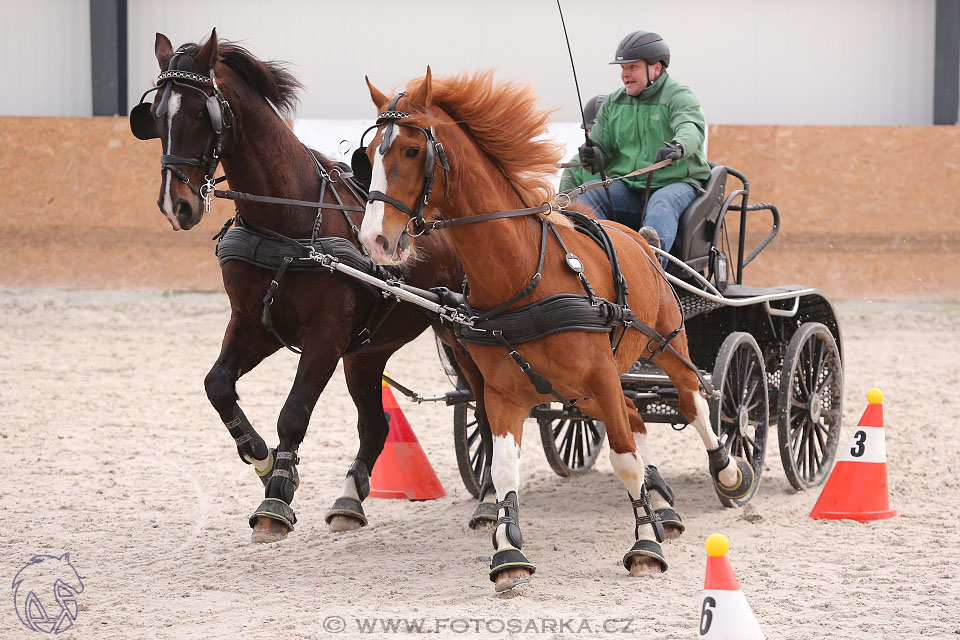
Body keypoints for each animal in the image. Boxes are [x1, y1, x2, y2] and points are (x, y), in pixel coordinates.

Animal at [128, 30, 496, 540]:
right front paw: (262, 459)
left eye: (203, 113)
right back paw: (349, 499)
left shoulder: (325, 336)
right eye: (157, 115)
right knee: (376, 424)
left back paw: (489, 499)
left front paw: (277, 496)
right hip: (368, 353)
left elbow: (294, 410)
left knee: (487, 407)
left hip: (462, 336)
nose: (175, 205)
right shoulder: (254, 324)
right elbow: (217, 384)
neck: (289, 223)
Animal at [356, 67, 752, 592]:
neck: (526, 273)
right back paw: (662, 503)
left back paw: (726, 473)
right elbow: (505, 468)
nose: (375, 240)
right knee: (636, 413)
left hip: (665, 346)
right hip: (586, 390)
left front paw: (645, 545)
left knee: (694, 401)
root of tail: (640, 238)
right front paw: (507, 553)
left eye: (411, 150)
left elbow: (625, 459)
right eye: (368, 153)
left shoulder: (601, 375)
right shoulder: (503, 392)